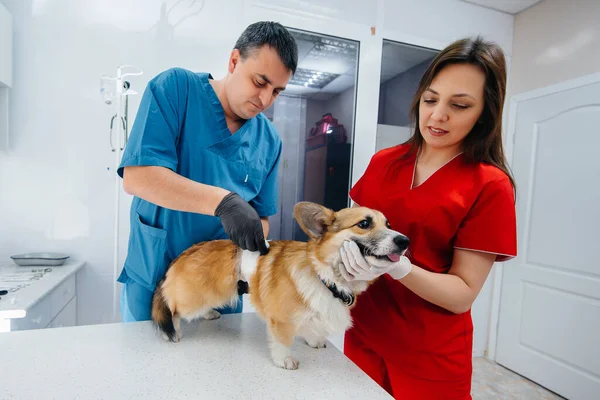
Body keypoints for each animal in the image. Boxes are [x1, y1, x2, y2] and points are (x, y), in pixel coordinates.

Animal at [152, 202, 410, 370]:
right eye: (364, 223)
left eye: (388, 224)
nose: (405, 241)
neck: (324, 276)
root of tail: (183, 254)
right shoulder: (281, 320)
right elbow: (282, 343)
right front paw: (285, 361)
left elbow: (311, 328)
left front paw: (314, 341)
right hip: (190, 299)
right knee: (172, 308)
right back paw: (171, 332)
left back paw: (208, 314)